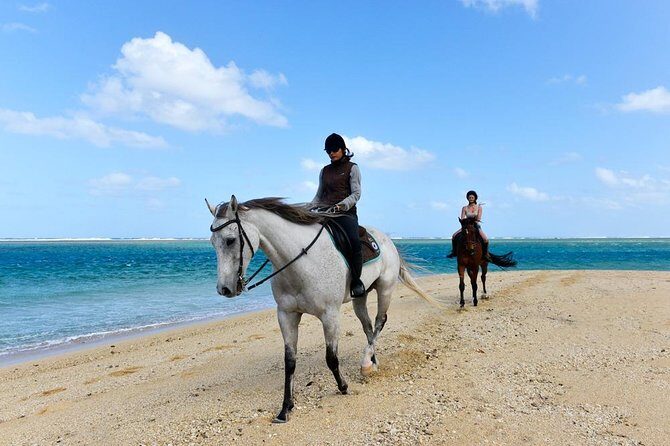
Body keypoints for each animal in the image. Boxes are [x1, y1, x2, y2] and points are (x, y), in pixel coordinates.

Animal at [206, 195, 438, 423]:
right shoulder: (287, 315)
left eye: (230, 240)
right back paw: (373, 361)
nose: (224, 289)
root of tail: (388, 240)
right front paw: (285, 408)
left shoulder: (330, 315)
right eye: (212, 242)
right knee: (368, 328)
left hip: (385, 290)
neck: (300, 264)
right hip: (360, 298)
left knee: (380, 322)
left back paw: (366, 363)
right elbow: (290, 362)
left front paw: (343, 387)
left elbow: (331, 358)